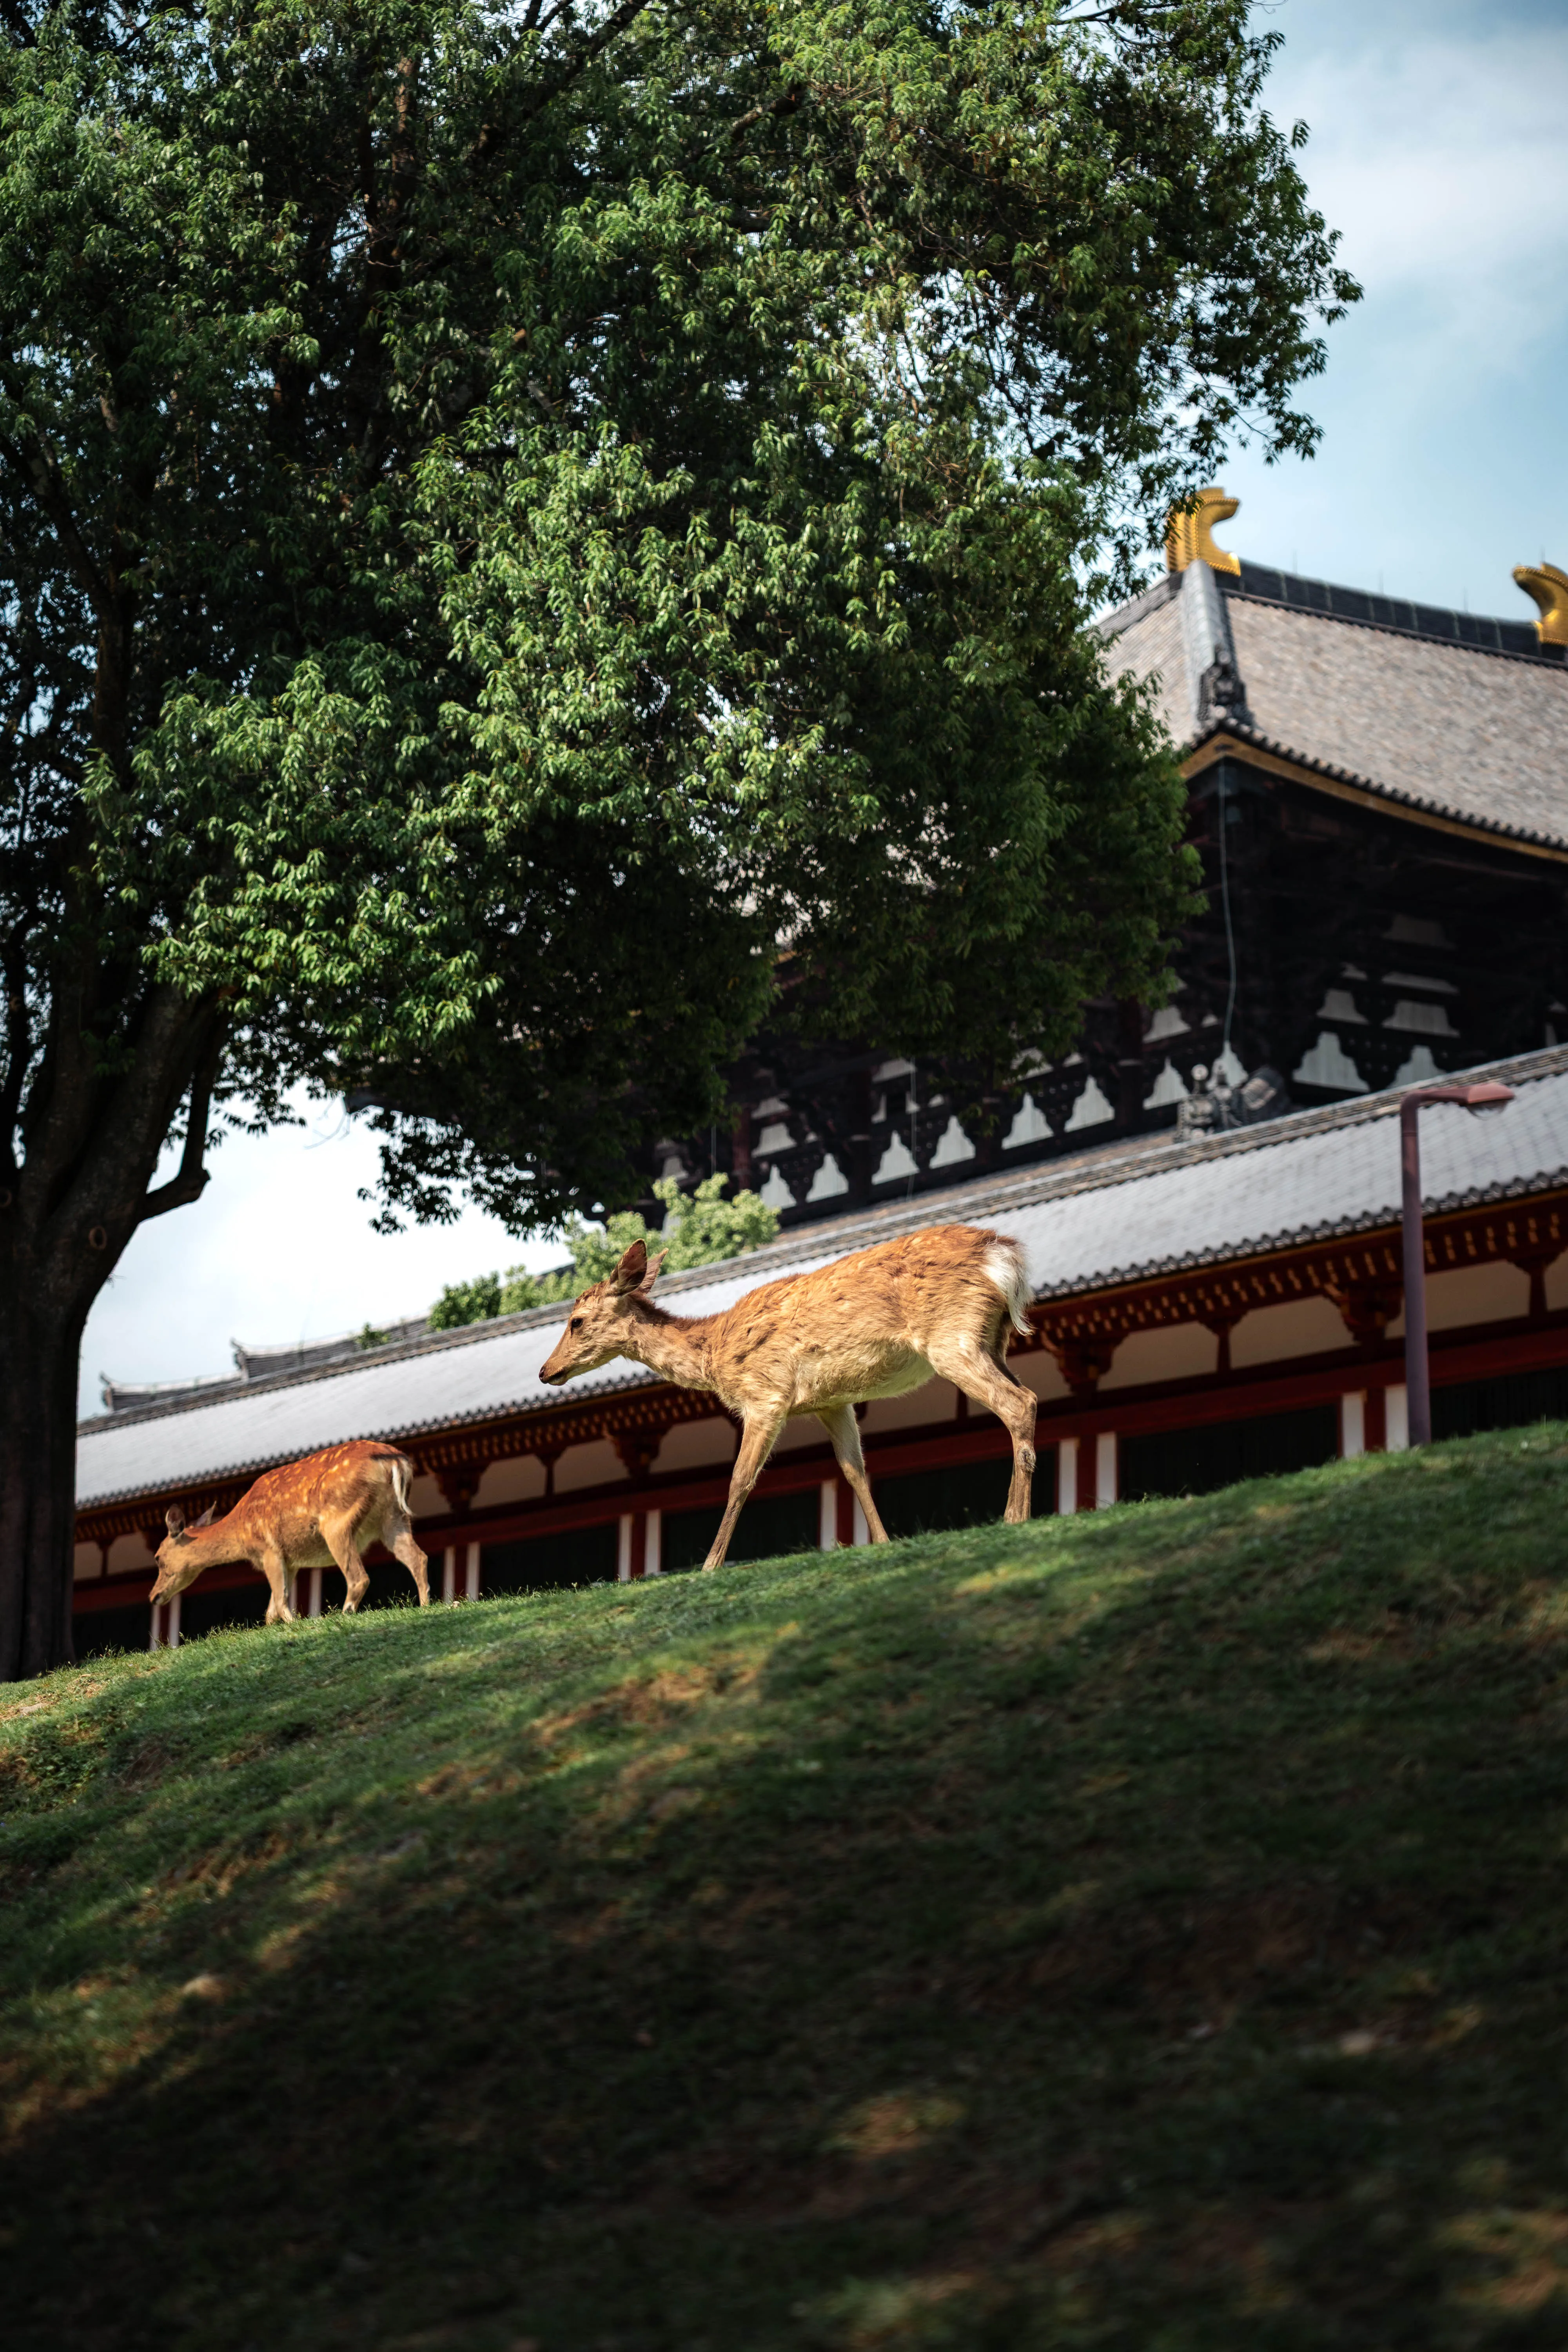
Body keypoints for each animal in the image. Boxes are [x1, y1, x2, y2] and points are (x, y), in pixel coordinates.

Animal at [149, 1439, 431, 1626]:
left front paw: (294, 1625)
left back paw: (343, 1616)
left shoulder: (269, 1550)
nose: (153, 1597)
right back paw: (426, 1606)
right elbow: (271, 1610)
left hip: (337, 1521)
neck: (241, 1531)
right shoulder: (291, 1560)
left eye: (158, 1557)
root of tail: (395, 1460)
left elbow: (281, 1601)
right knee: (419, 1558)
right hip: (392, 1518)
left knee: (359, 1577)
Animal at [538, 1223, 1037, 1572]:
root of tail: (1003, 1255)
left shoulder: (766, 1395)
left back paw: (1015, 1518)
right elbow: (854, 1471)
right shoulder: (831, 1402)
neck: (714, 1353)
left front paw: (708, 1566)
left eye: (576, 1321)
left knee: (1017, 1403)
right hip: (993, 1340)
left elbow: (740, 1479)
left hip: (951, 1338)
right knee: (1029, 1395)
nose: (547, 1371)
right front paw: (882, 1543)